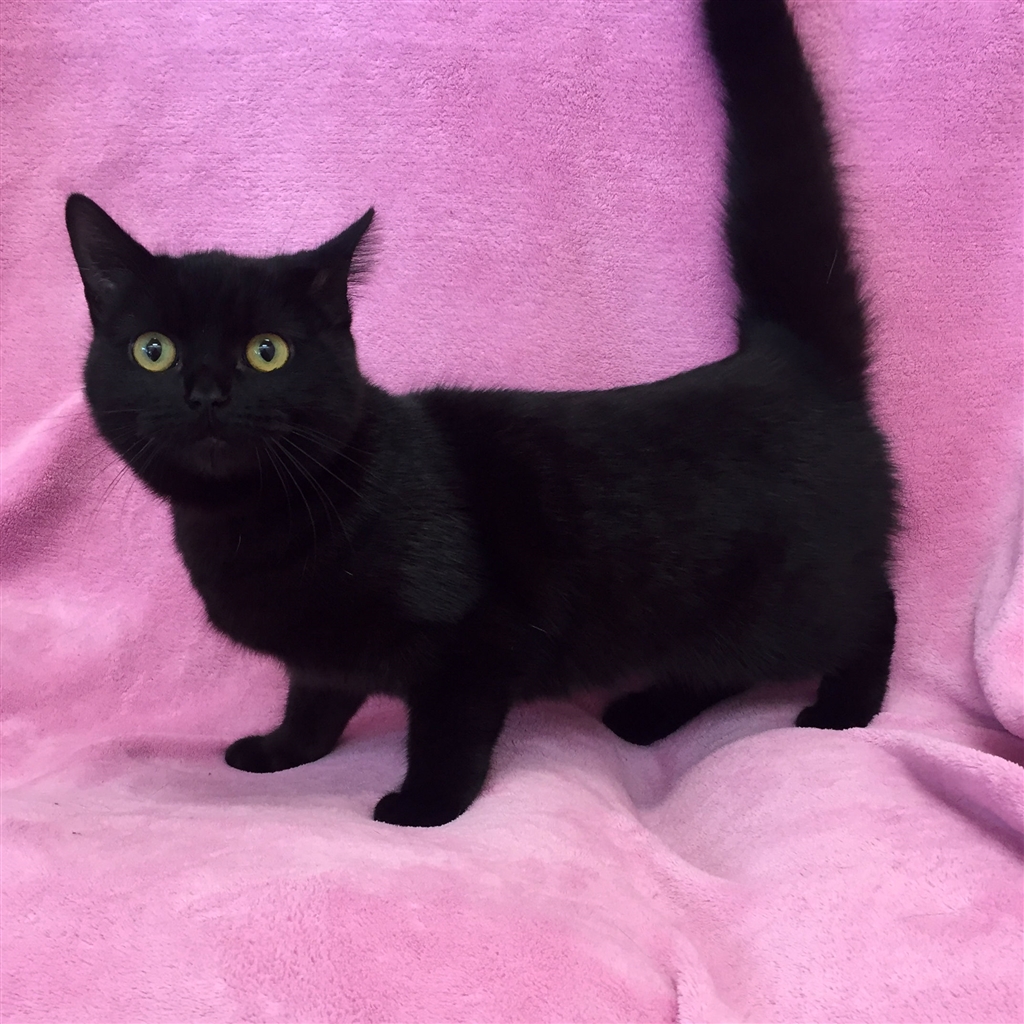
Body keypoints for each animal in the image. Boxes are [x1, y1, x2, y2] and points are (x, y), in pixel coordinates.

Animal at [65, 0, 897, 827]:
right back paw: (645, 713)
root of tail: (787, 357)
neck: (248, 522)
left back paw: (842, 710)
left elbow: (447, 730)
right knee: (723, 665)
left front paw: (425, 806)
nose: (206, 392)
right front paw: (282, 751)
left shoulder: (472, 641)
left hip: (795, 598)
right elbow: (316, 697)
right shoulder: (324, 652)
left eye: (267, 352)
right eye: (154, 351)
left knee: (872, 613)